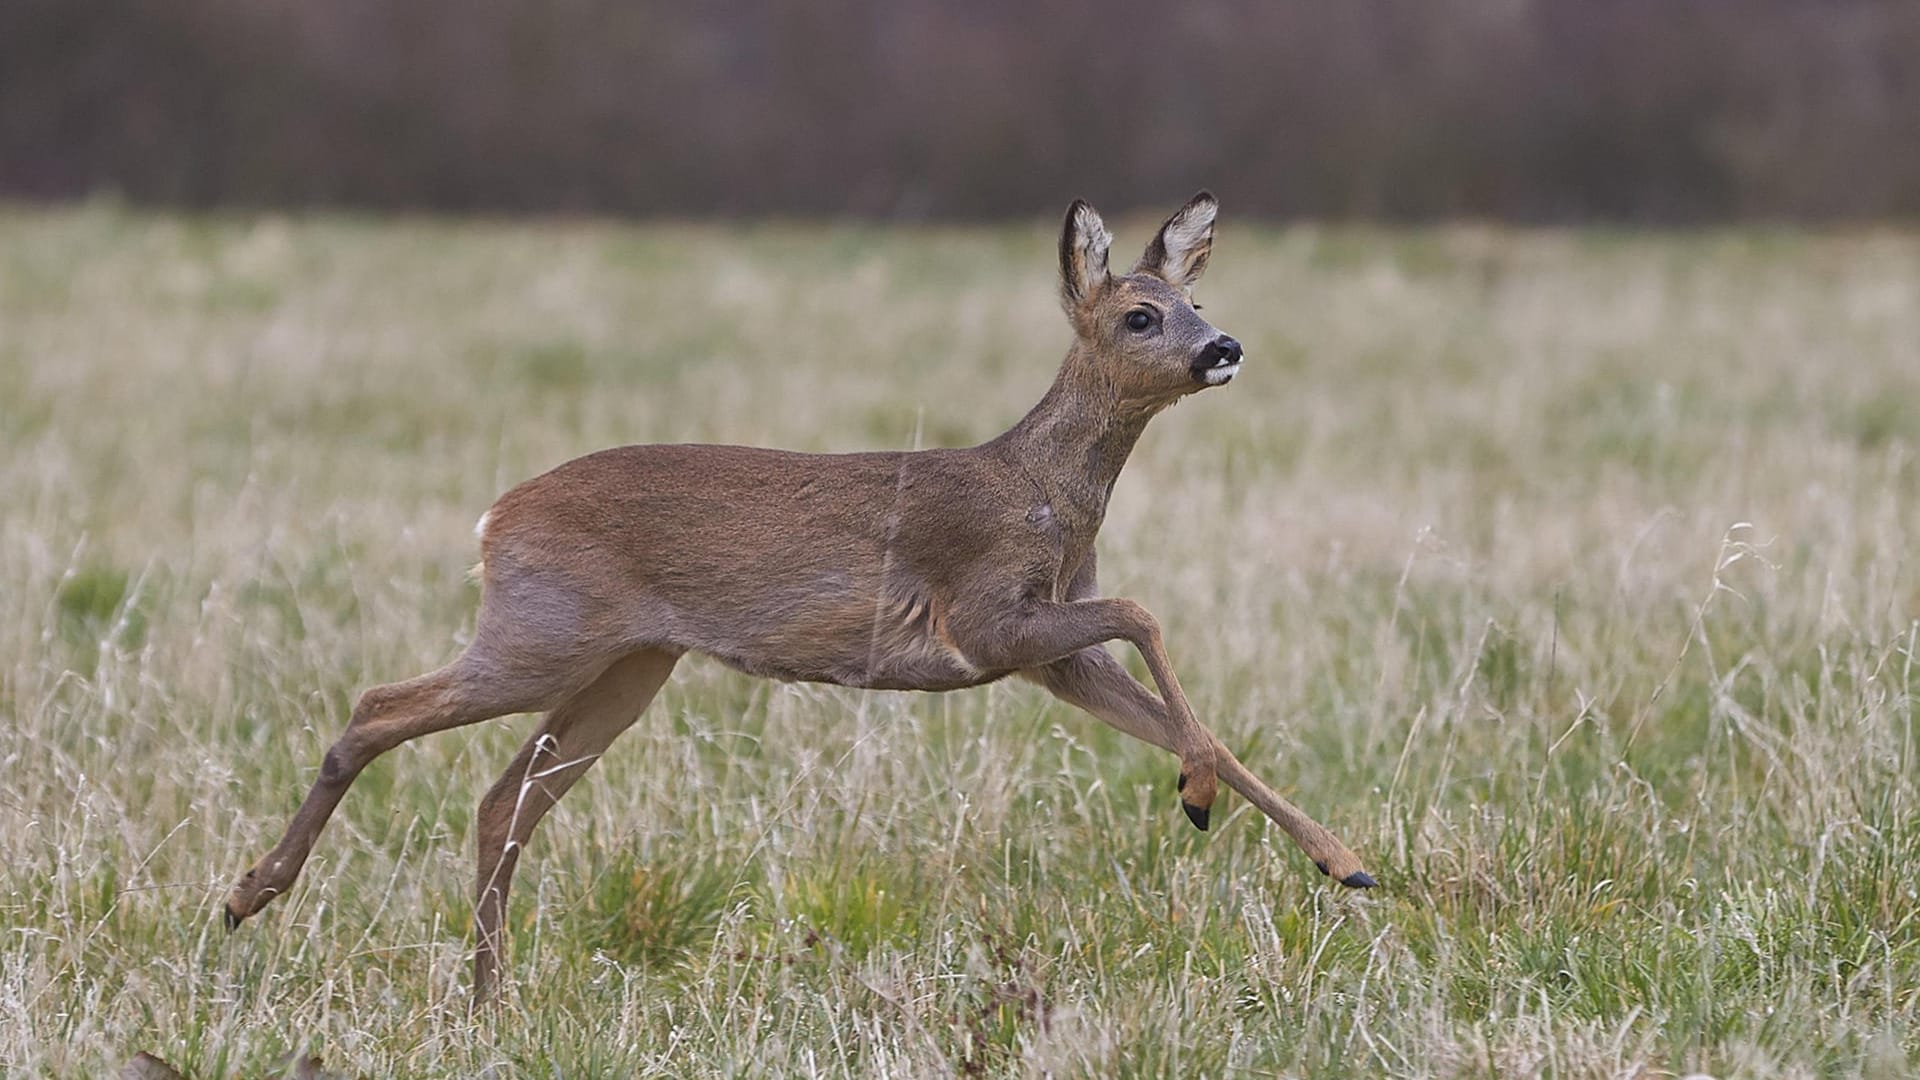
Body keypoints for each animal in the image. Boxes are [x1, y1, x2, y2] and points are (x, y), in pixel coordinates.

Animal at [220, 191, 1367, 991]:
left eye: (1196, 300)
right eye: (1139, 315)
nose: (1224, 346)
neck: (1040, 496)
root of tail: (494, 518)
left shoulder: (1049, 657)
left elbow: (1181, 702)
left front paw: (1343, 863)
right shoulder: (986, 618)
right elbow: (1144, 612)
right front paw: (1199, 794)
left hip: (628, 666)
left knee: (504, 798)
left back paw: (486, 994)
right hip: (542, 633)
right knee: (378, 709)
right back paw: (250, 896)